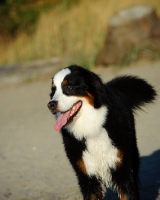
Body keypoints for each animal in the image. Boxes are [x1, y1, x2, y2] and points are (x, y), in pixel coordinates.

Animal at [47, 65, 156, 199]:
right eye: (53, 91)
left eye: (69, 87)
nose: (50, 105)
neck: (91, 128)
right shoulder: (87, 178)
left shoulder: (123, 172)